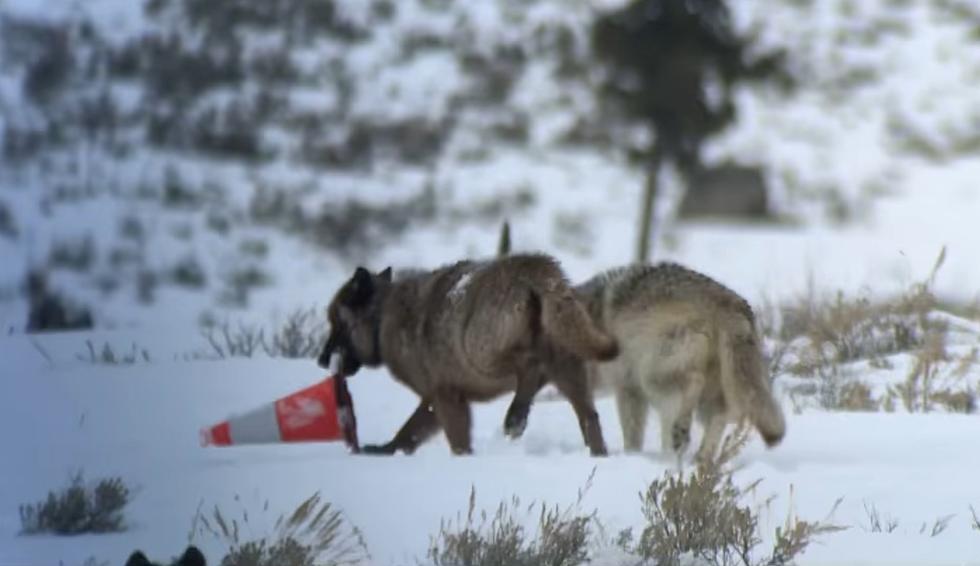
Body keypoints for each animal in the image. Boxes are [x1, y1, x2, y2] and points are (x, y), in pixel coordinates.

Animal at [318, 255, 616, 460]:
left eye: (336, 323)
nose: (321, 361)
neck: (383, 320)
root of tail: (533, 265)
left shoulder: (445, 396)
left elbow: (452, 440)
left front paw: (463, 461)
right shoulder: (436, 399)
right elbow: (407, 433)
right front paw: (384, 451)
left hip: (483, 356)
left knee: (530, 367)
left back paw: (515, 418)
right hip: (568, 368)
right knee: (589, 416)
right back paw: (596, 455)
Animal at [580, 262, 784, 462]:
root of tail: (730, 302)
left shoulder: (627, 388)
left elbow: (632, 436)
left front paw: (631, 457)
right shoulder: (631, 389)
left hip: (652, 376)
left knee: (694, 383)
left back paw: (677, 443)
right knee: (720, 414)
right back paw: (700, 460)